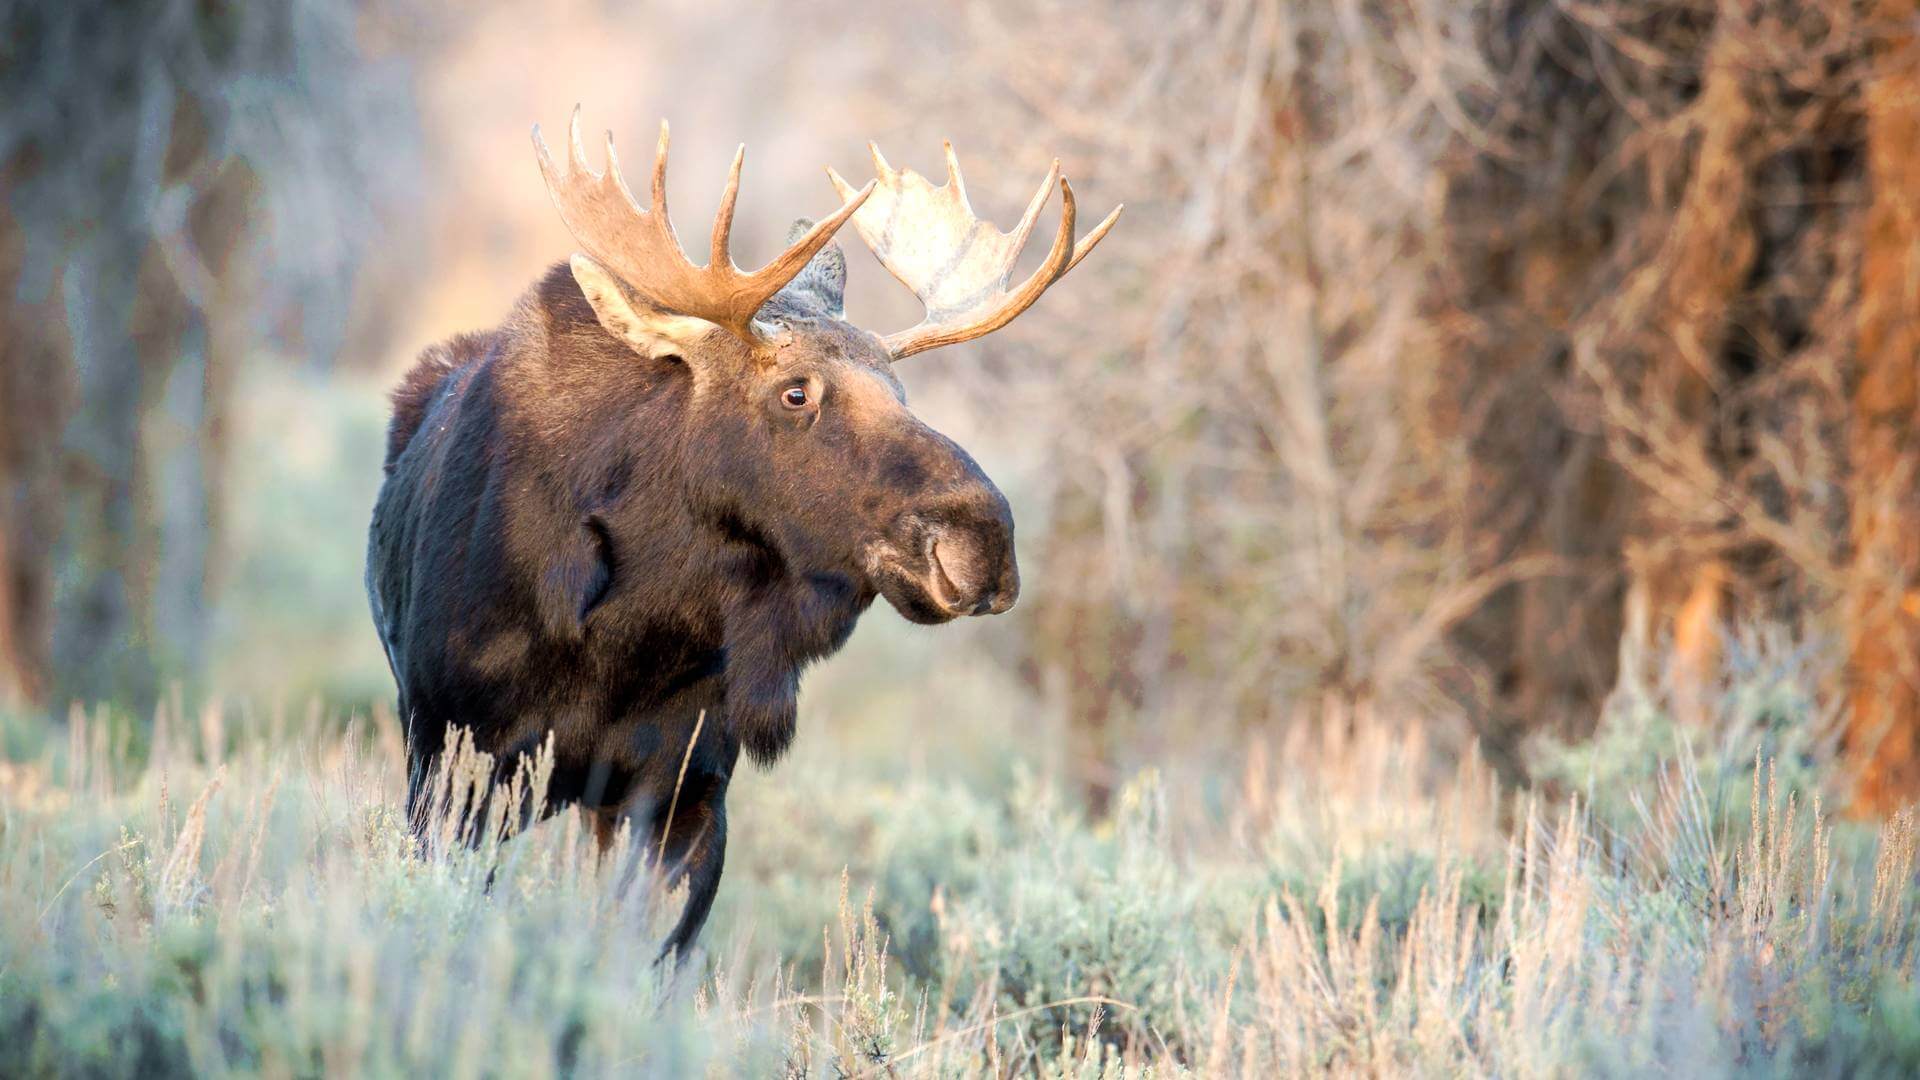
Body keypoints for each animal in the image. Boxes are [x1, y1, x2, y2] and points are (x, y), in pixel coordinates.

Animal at [364, 107, 1121, 949]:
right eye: (796, 393)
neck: (624, 637)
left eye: (901, 392)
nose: (983, 541)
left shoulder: (687, 788)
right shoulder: (456, 764)